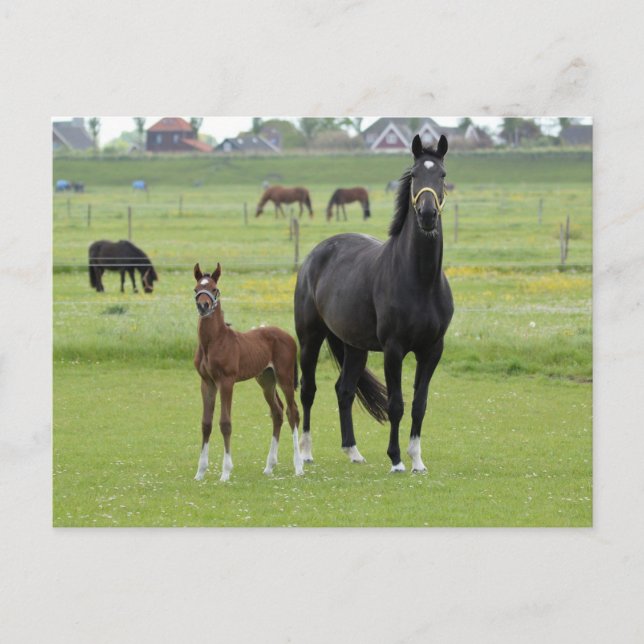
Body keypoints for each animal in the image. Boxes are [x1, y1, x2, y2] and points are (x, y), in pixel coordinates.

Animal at [192, 262, 304, 482]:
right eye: (196, 289)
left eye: (214, 289)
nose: (203, 306)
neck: (214, 341)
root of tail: (289, 336)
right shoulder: (207, 382)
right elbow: (206, 423)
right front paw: (200, 472)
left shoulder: (226, 381)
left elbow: (225, 423)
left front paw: (226, 472)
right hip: (266, 380)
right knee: (277, 412)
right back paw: (269, 466)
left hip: (284, 377)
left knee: (293, 412)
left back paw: (298, 466)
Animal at [294, 134, 453, 473]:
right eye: (415, 175)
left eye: (443, 175)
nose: (427, 215)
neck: (421, 281)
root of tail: (316, 255)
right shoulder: (394, 349)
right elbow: (396, 404)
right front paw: (396, 459)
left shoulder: (432, 350)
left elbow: (419, 404)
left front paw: (417, 459)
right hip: (310, 338)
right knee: (308, 390)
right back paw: (305, 452)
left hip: (354, 347)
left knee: (344, 390)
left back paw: (353, 451)